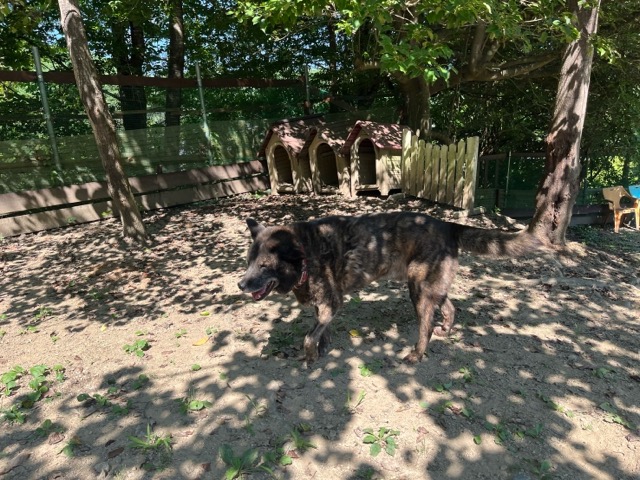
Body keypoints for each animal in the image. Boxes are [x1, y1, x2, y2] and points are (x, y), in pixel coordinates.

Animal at [238, 211, 541, 364]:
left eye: (264, 266)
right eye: (248, 261)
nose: (241, 284)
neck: (304, 253)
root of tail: (447, 225)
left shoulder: (332, 303)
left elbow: (308, 338)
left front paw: (310, 358)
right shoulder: (323, 306)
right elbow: (319, 330)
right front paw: (324, 348)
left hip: (418, 289)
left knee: (425, 326)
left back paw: (416, 354)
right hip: (431, 287)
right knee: (450, 307)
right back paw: (446, 329)